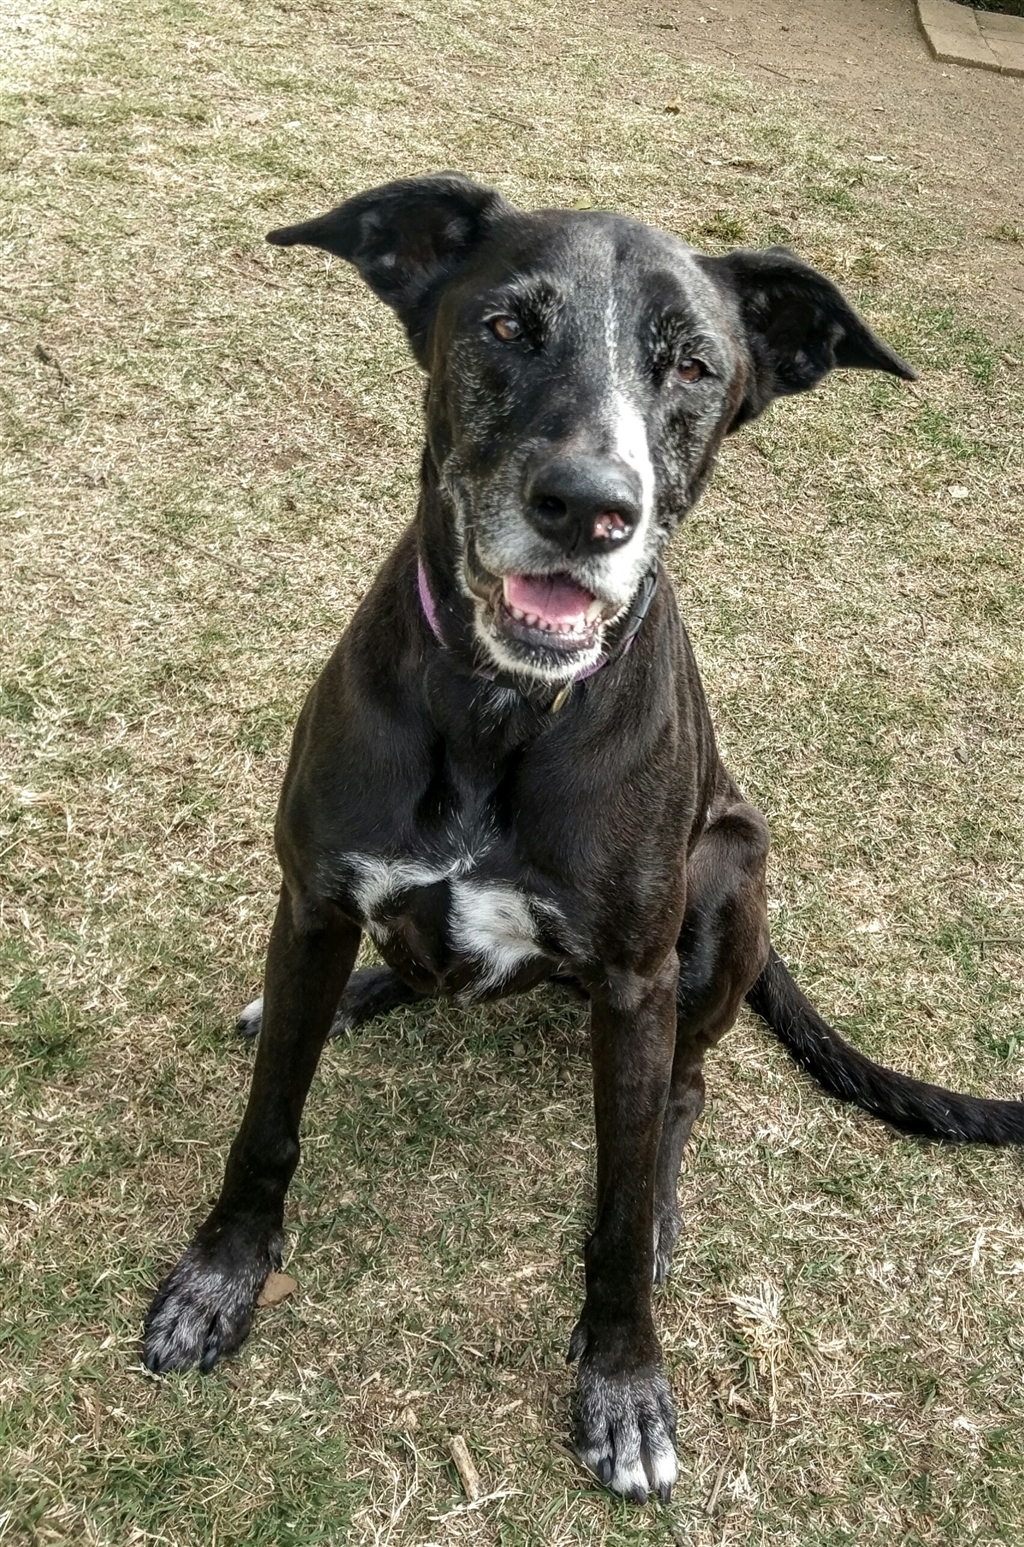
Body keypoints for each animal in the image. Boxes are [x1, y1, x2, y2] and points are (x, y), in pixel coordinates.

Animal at [142, 175, 1024, 1503]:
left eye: (695, 364)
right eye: (507, 325)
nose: (588, 508)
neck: (497, 706)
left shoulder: (632, 978)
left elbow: (610, 1209)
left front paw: (623, 1381)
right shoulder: (309, 898)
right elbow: (266, 1126)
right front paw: (220, 1275)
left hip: (725, 880)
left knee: (687, 1092)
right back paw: (359, 993)